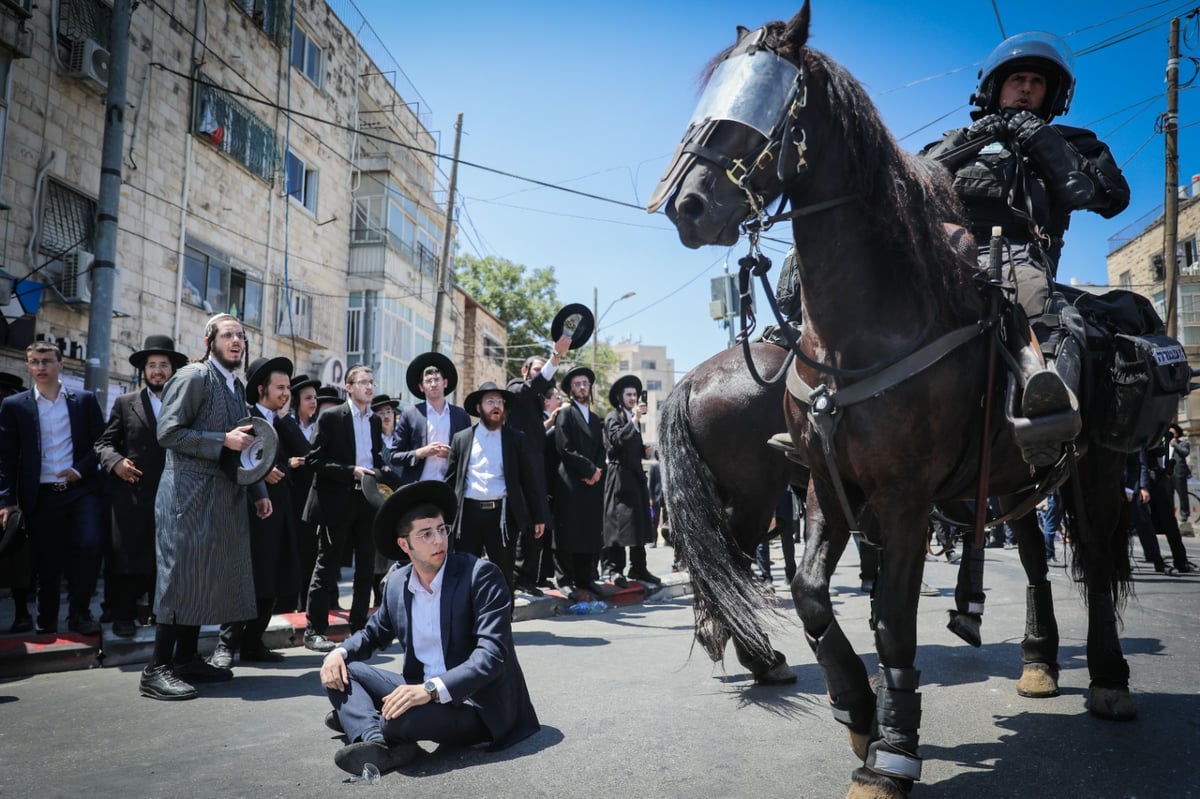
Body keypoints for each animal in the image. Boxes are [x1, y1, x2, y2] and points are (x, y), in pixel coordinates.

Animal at [652, 3, 1137, 791]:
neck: (863, 331)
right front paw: (858, 708)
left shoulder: (903, 496)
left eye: (769, 100)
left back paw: (1106, 675)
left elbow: (891, 620)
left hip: (1090, 464)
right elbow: (815, 594)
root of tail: (691, 380)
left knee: (1091, 555)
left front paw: (891, 746)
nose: (688, 206)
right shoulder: (829, 485)